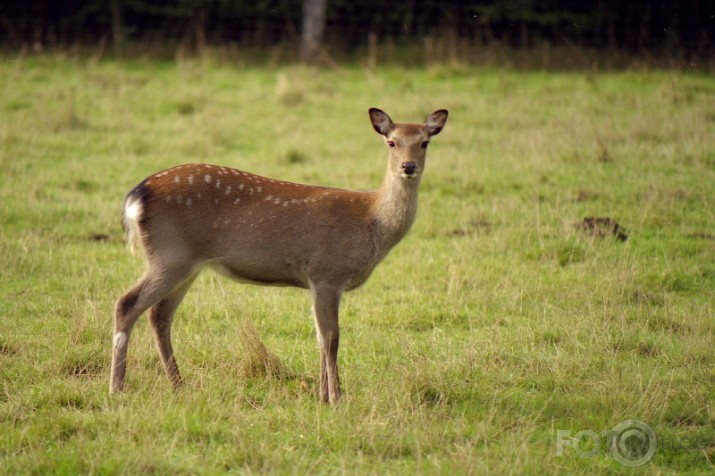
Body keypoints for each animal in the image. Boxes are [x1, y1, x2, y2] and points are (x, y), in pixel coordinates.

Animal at [109, 109, 448, 406]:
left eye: (424, 142)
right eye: (391, 142)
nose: (408, 166)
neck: (371, 222)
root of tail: (135, 198)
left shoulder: (317, 280)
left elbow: (319, 337)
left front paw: (322, 396)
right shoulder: (327, 271)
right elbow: (331, 337)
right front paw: (337, 399)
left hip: (186, 263)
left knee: (159, 314)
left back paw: (178, 385)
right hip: (170, 255)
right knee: (127, 303)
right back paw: (117, 388)